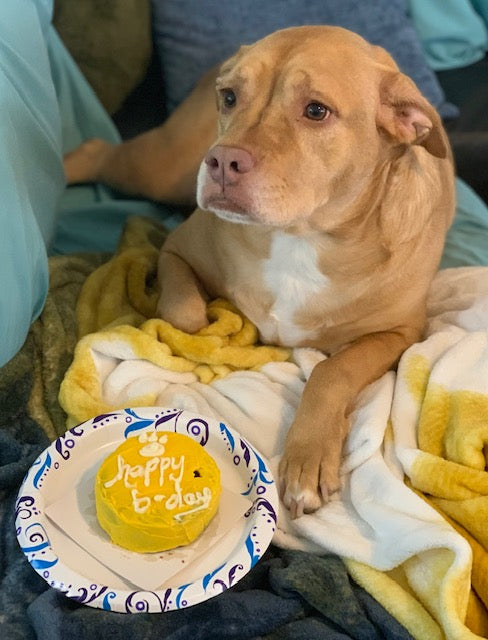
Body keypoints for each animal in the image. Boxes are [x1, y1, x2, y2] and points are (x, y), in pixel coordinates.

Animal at [63, 25, 454, 516]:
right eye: (230, 98)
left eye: (316, 110)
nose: (222, 162)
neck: (301, 238)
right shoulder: (175, 251)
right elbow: (186, 315)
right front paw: (220, 332)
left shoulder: (402, 333)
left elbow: (333, 371)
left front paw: (308, 458)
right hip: (160, 168)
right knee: (98, 151)